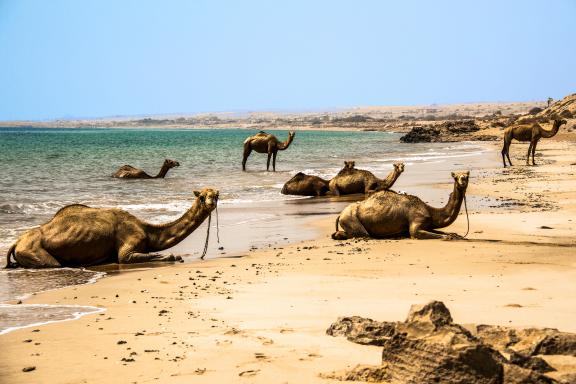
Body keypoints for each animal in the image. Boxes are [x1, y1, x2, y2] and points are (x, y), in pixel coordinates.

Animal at [5, 188, 219, 268]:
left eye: (216, 194)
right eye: (202, 196)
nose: (211, 203)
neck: (147, 230)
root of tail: (16, 242)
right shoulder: (128, 247)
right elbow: (126, 257)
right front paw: (174, 256)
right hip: (32, 249)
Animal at [330, 171, 470, 240]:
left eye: (467, 176)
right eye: (455, 177)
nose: (463, 179)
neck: (430, 211)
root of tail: (340, 215)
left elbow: (441, 231)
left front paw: (456, 235)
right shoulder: (416, 224)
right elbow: (417, 232)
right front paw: (450, 237)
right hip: (350, 218)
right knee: (363, 234)